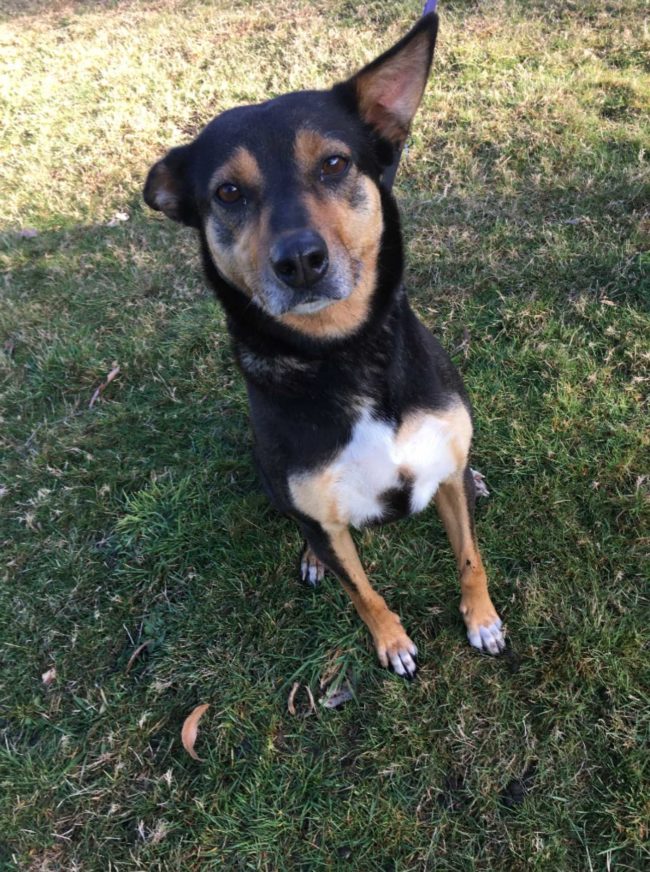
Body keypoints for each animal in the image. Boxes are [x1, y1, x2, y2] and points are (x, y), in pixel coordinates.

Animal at [144, 15, 504, 680]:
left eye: (335, 163)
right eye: (228, 193)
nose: (300, 261)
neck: (345, 353)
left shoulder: (443, 470)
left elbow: (469, 556)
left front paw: (483, 620)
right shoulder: (320, 517)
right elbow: (363, 592)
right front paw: (391, 641)